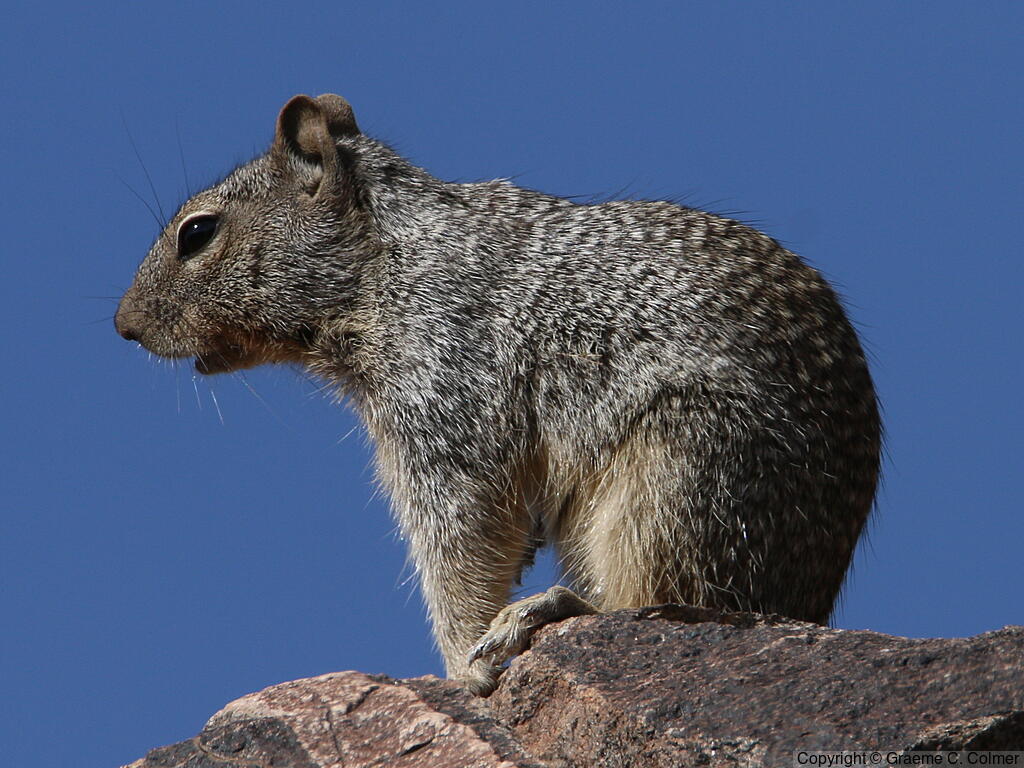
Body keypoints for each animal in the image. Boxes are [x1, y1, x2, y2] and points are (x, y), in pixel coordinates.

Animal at [116, 93, 881, 696]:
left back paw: (546, 610)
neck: (384, 266)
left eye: (197, 232)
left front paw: (465, 666)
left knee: (665, 600)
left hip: (680, 478)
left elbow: (460, 542)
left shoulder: (444, 404)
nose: (123, 326)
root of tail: (807, 598)